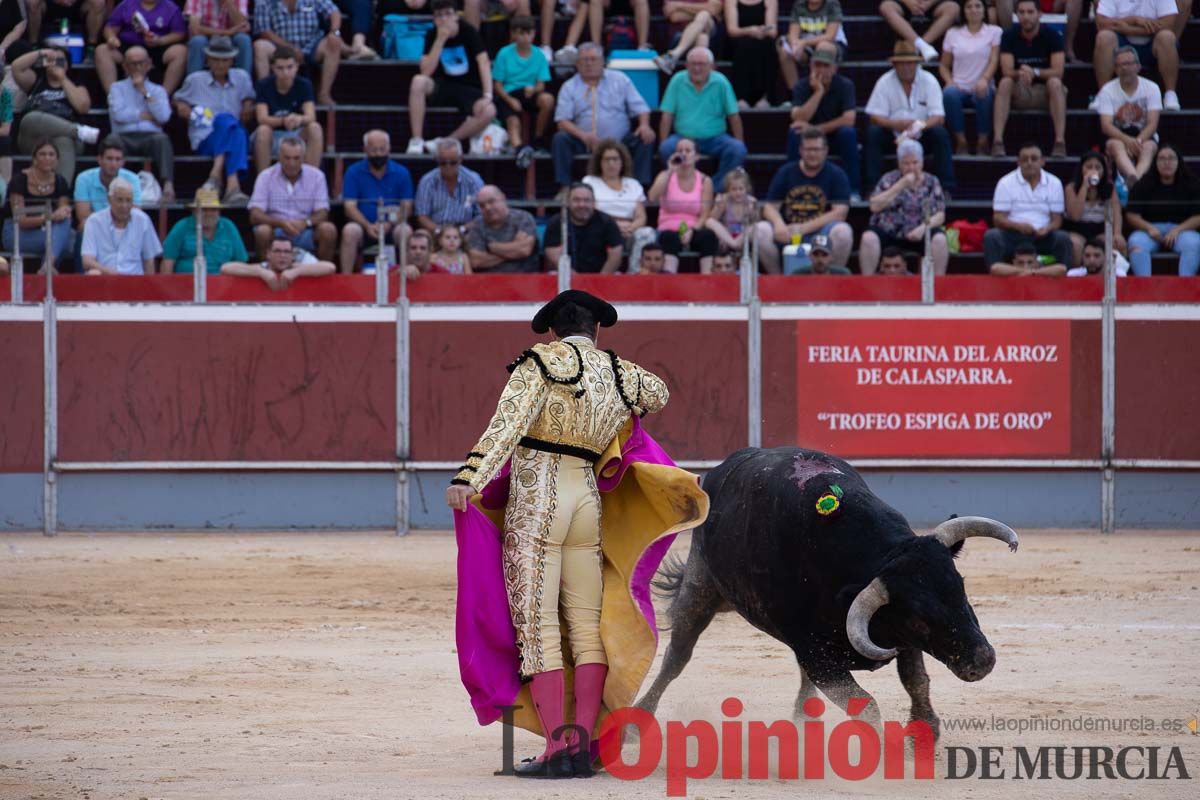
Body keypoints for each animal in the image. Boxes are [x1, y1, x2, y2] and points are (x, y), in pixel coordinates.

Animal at [633, 448, 1017, 734]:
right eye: (919, 620)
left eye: (960, 590)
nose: (982, 660)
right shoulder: (822, 658)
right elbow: (866, 706)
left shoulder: (895, 641)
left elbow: (916, 680)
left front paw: (924, 733)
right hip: (701, 584)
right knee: (676, 657)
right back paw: (637, 723)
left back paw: (804, 720)